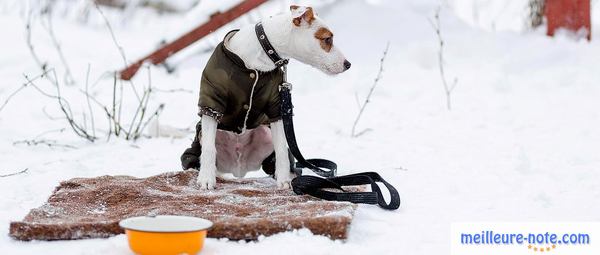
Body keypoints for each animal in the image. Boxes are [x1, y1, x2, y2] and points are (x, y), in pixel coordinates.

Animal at [180, 4, 352, 189]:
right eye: (327, 39)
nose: (348, 64)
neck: (261, 54)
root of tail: (239, 168)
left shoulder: (277, 107)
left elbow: (282, 149)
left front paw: (284, 181)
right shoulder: (212, 104)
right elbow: (209, 148)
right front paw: (206, 179)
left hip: (265, 133)